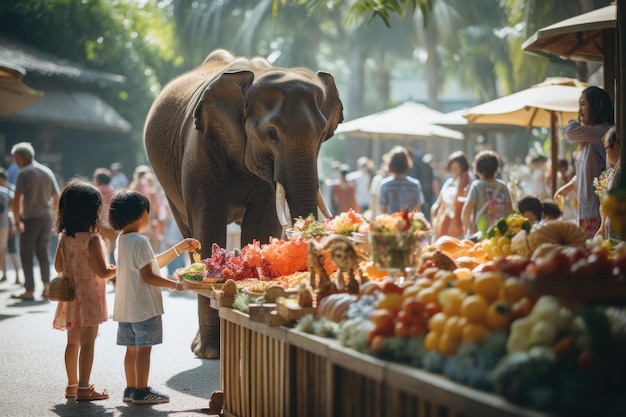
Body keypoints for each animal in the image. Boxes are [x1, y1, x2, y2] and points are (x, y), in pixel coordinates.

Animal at [144, 49, 344, 358]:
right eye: (271, 134)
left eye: (322, 134)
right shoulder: (199, 151)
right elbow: (208, 227)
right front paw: (211, 353)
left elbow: (261, 225)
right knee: (188, 226)